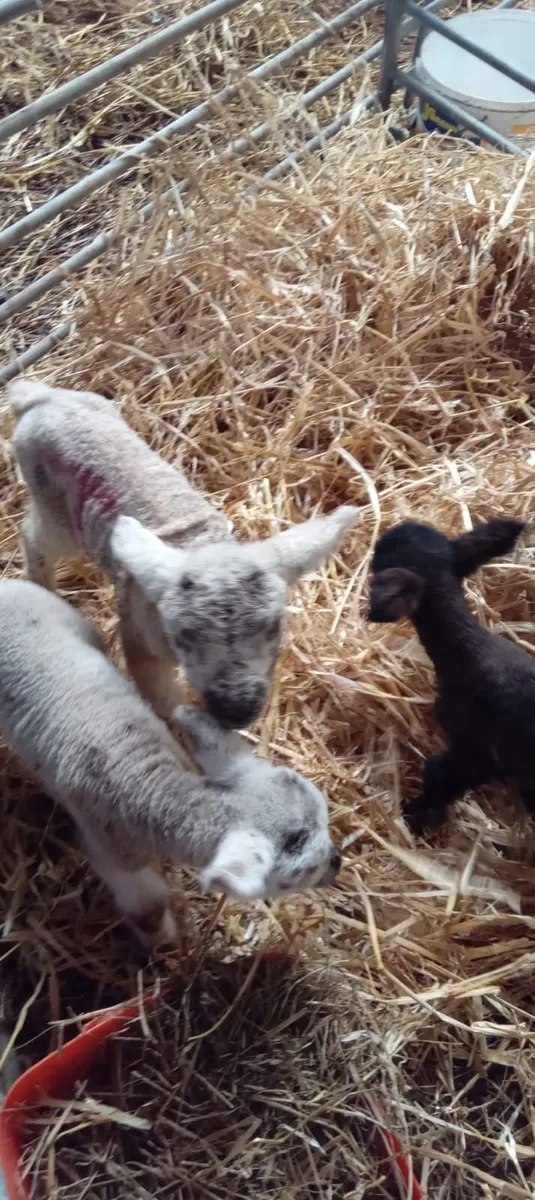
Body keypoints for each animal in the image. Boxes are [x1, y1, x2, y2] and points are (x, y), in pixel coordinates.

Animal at [0, 578, 341, 944]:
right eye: (298, 876)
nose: (338, 861)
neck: (145, 787)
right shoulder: (111, 851)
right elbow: (148, 906)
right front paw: (165, 939)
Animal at [7, 379, 358, 727]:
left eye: (272, 627)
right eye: (185, 636)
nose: (237, 711)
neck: (198, 544)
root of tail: (41, 397)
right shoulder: (141, 640)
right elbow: (165, 702)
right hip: (56, 511)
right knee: (33, 534)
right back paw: (40, 583)